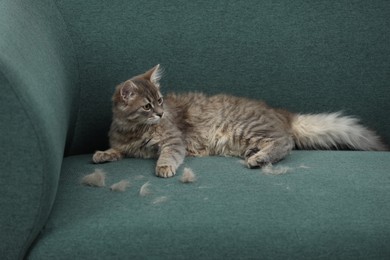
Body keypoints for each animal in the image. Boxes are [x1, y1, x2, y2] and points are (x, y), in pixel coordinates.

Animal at [91, 65, 386, 178]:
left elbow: (169, 154)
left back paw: (258, 159)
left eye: (161, 101)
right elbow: (115, 150)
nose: (161, 114)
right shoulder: (125, 145)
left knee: (285, 144)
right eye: (148, 106)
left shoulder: (173, 140)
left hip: (244, 128)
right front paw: (102, 154)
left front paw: (164, 167)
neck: (134, 131)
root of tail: (281, 112)